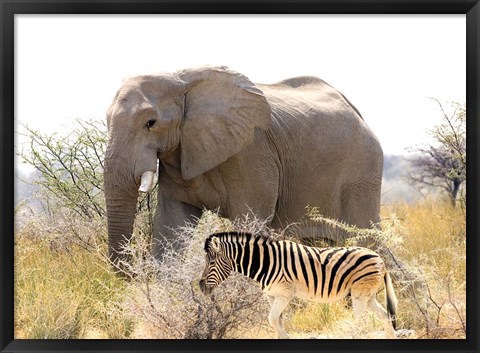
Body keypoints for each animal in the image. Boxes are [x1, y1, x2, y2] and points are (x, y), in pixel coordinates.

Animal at [104, 66, 382, 264]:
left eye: (150, 123)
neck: (181, 82)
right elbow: (171, 224)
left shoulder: (251, 153)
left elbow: (249, 220)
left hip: (362, 172)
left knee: (368, 242)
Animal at [199, 231, 398, 338]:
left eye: (211, 262)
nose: (200, 287)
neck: (266, 262)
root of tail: (380, 259)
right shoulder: (271, 295)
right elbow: (277, 321)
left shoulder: (284, 294)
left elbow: (272, 320)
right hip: (368, 296)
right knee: (385, 316)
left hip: (359, 294)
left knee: (361, 321)